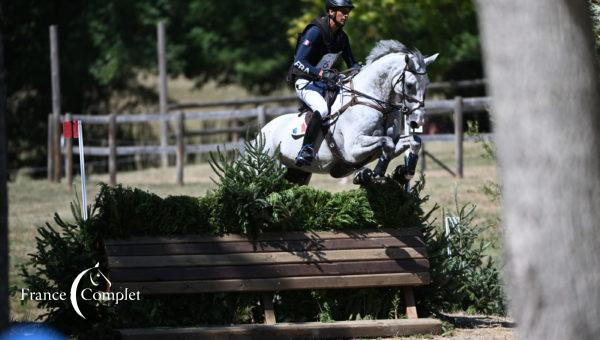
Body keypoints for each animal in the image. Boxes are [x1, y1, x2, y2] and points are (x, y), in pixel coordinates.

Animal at [260, 41, 438, 186]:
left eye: (427, 84)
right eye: (409, 85)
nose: (417, 121)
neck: (378, 104)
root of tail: (262, 132)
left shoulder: (390, 141)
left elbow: (414, 141)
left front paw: (404, 173)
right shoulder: (353, 149)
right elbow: (387, 143)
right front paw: (377, 174)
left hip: (297, 174)